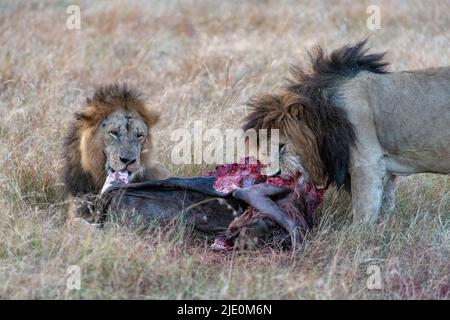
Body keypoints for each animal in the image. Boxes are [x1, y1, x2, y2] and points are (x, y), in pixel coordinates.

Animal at [244, 40, 448, 224]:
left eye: (280, 146)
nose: (271, 176)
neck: (324, 115)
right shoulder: (384, 169)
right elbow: (385, 202)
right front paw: (385, 226)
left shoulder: (366, 162)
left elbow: (363, 211)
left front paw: (359, 235)